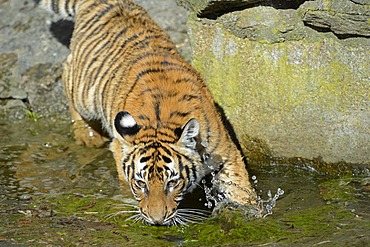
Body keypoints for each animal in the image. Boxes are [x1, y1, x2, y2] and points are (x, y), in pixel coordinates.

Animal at [38, 0, 258, 225]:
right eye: (141, 183)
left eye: (172, 183)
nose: (157, 220)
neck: (161, 123)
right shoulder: (120, 148)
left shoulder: (226, 151)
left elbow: (239, 186)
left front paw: (252, 213)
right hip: (85, 93)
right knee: (66, 72)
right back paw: (88, 136)